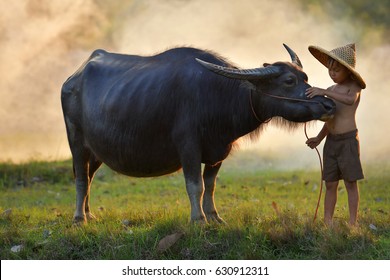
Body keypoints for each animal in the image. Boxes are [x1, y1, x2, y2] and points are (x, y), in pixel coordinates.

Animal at [61, 44, 336, 224]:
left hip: (97, 151)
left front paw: (214, 217)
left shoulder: (219, 150)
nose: (328, 105)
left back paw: (89, 213)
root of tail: (73, 79)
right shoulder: (189, 148)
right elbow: (196, 185)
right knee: (81, 178)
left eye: (305, 77)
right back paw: (79, 218)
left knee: (89, 176)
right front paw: (199, 220)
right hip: (76, 141)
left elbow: (211, 184)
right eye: (289, 81)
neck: (218, 95)